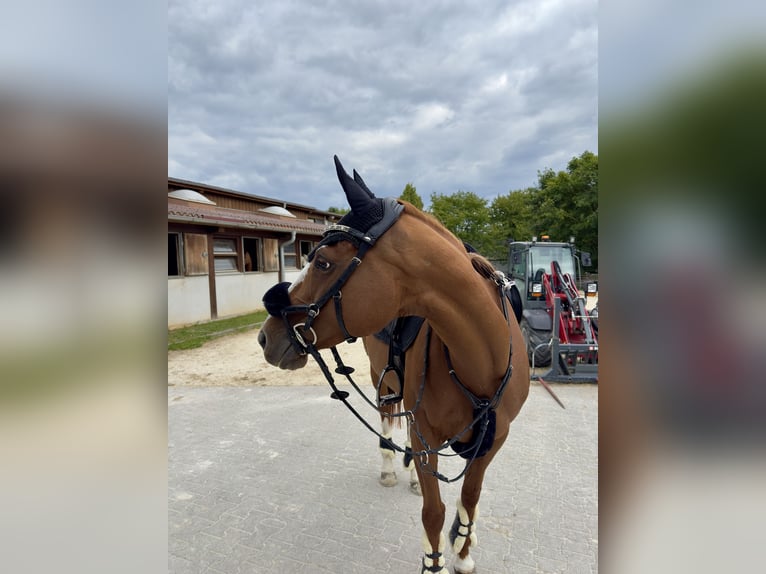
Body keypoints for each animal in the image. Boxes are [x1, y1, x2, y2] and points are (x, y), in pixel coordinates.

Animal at [258, 156, 530, 574]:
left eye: (323, 262)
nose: (265, 337)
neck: (482, 357)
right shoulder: (425, 434)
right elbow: (433, 512)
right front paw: (433, 562)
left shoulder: (493, 439)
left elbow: (469, 499)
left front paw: (463, 553)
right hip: (381, 378)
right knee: (388, 415)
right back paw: (390, 466)